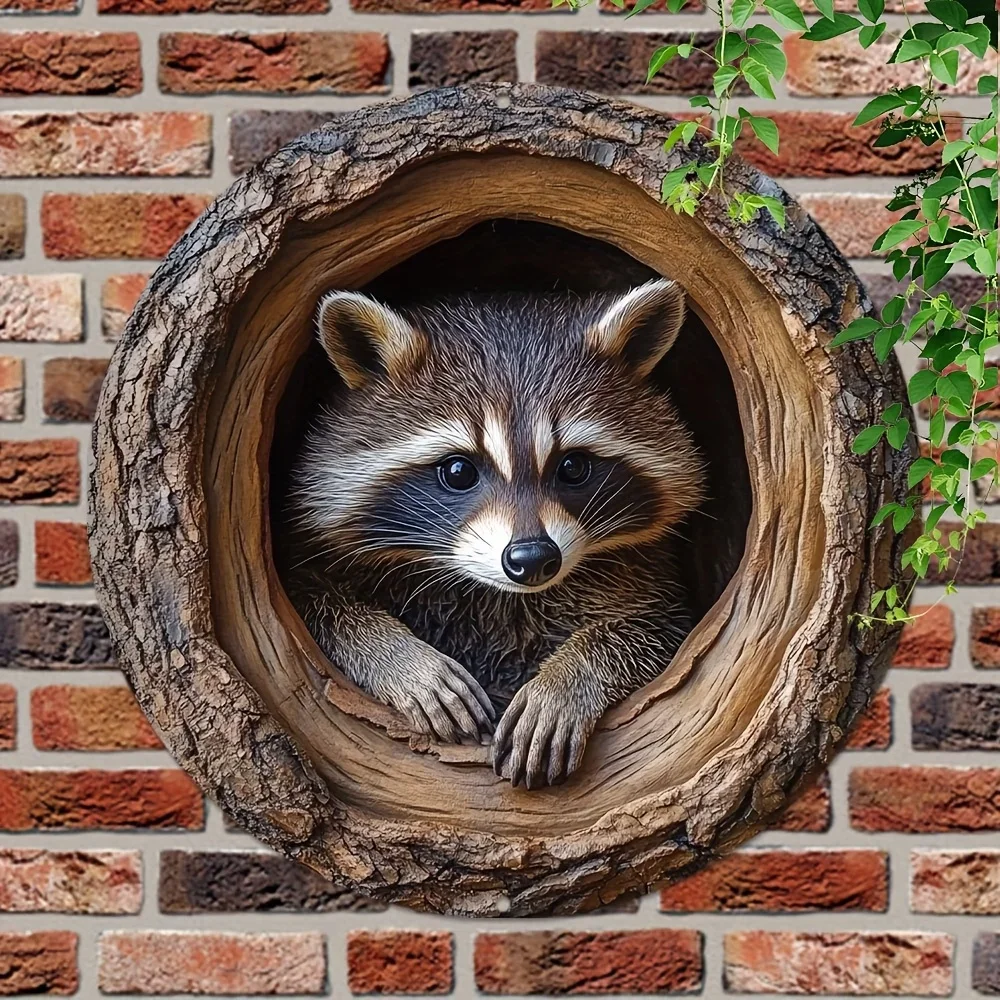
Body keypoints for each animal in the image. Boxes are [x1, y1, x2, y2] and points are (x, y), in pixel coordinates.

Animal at [283, 279, 706, 789]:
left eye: (573, 467)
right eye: (458, 471)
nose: (532, 558)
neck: (499, 595)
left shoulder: (644, 577)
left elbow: (651, 628)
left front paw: (566, 680)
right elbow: (317, 603)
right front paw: (401, 657)